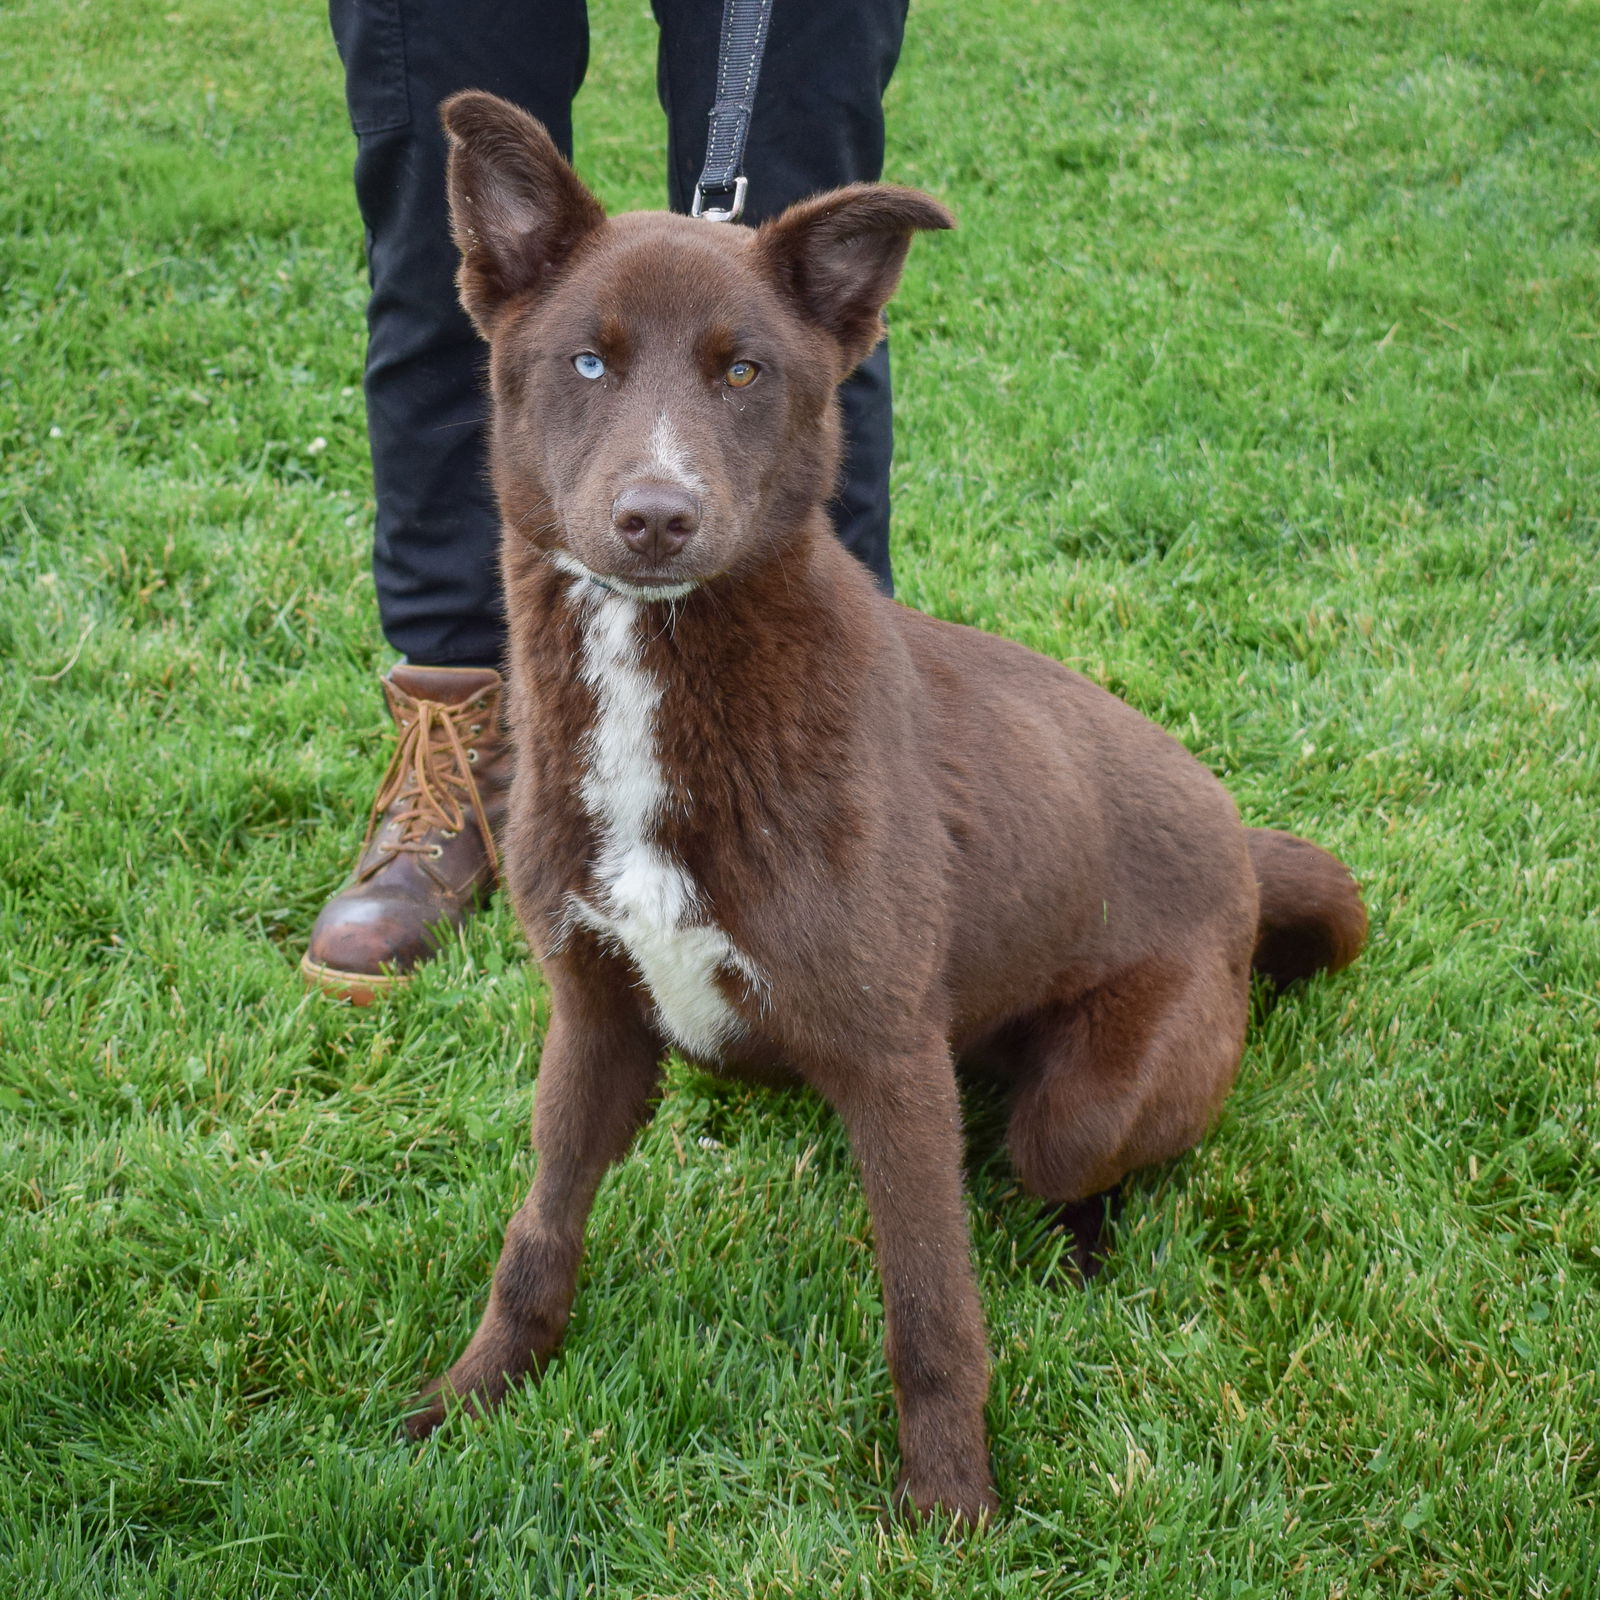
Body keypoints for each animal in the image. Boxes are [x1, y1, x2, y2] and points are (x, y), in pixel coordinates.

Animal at [406, 90, 1369, 1523]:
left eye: (745, 372)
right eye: (586, 363)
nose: (656, 516)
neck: (669, 689)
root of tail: (1240, 848)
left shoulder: (889, 1057)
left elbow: (931, 1307)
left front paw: (949, 1506)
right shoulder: (590, 1009)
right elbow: (537, 1231)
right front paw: (475, 1393)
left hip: (1088, 1096)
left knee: (1070, 1159)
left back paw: (1080, 1249)